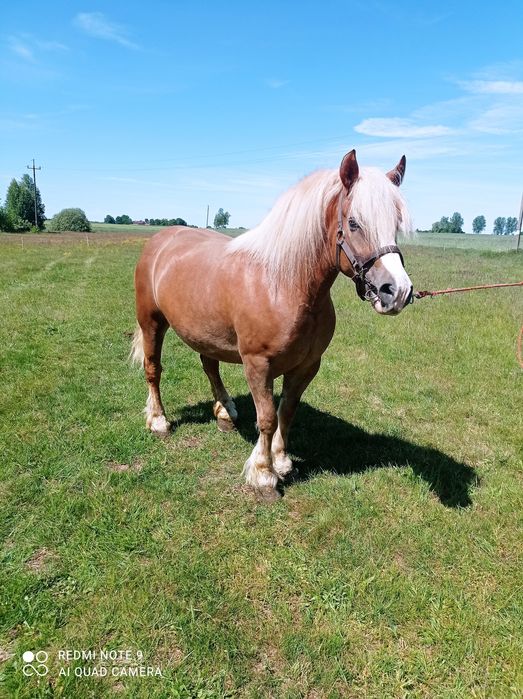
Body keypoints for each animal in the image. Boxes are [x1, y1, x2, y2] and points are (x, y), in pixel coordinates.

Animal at [131, 150, 414, 504]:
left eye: (396, 224)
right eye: (353, 223)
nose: (397, 291)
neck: (283, 284)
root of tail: (162, 238)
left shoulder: (307, 366)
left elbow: (286, 412)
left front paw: (281, 461)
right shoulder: (258, 364)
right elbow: (266, 418)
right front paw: (264, 475)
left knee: (210, 366)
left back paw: (225, 411)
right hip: (152, 323)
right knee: (153, 369)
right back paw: (158, 421)